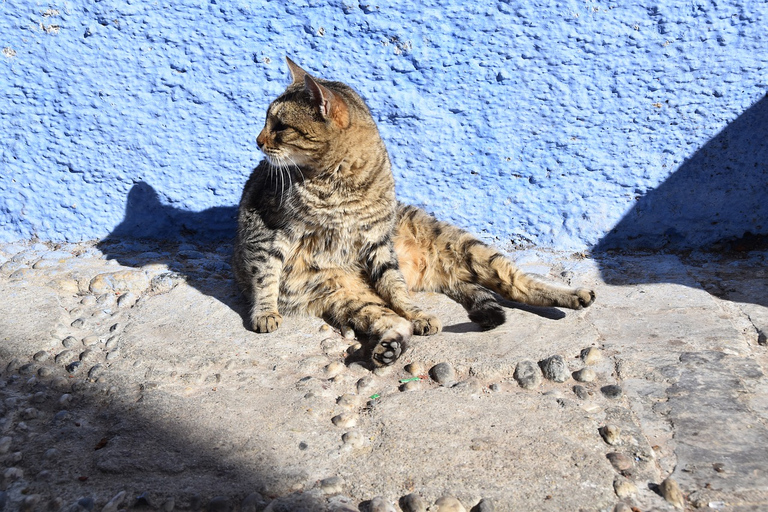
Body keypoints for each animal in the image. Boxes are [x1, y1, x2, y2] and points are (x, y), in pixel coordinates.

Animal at [231, 58, 596, 366]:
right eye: (268, 122)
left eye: (280, 126)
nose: (257, 141)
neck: (338, 182)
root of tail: (434, 274)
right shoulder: (269, 232)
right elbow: (265, 275)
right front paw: (265, 311)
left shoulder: (378, 242)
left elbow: (395, 286)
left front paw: (413, 309)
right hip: (347, 292)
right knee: (387, 319)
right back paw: (389, 347)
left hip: (468, 248)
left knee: (517, 284)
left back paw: (575, 296)